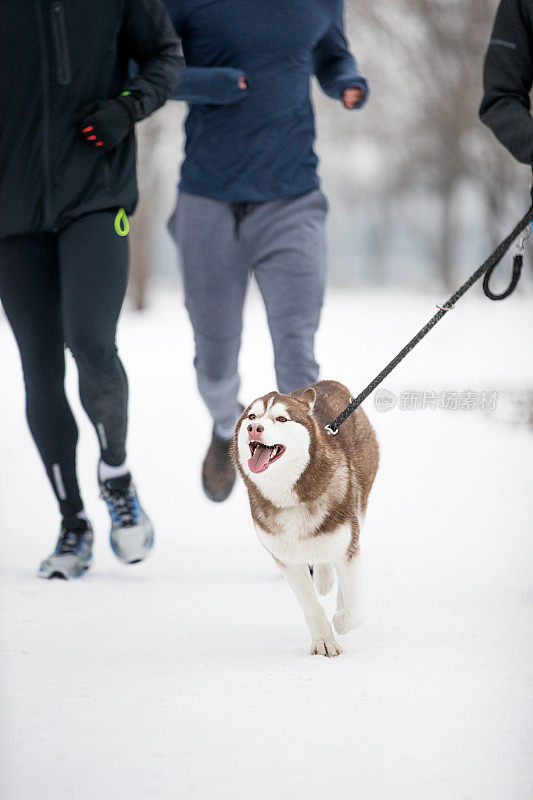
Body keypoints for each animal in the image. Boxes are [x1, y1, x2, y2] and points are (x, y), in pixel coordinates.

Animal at [233, 382, 378, 656]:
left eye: (281, 419)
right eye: (252, 416)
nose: (254, 428)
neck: (292, 500)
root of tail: (331, 383)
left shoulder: (347, 541)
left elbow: (356, 609)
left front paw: (341, 621)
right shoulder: (286, 558)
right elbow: (310, 605)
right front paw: (324, 640)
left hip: (359, 504)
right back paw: (323, 578)